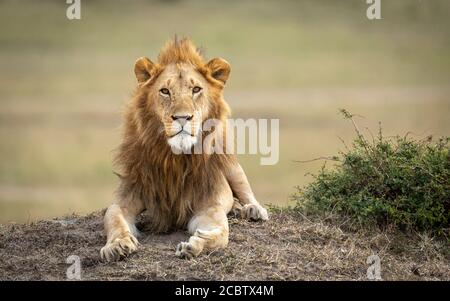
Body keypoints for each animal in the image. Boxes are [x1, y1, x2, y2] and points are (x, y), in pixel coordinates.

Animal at [100, 38, 268, 260]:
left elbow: (221, 234)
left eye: (196, 89)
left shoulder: (209, 206)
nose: (182, 117)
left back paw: (252, 210)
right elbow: (114, 218)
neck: (174, 159)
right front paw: (117, 245)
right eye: (165, 91)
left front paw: (196, 244)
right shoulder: (126, 198)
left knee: (245, 191)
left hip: (232, 166)